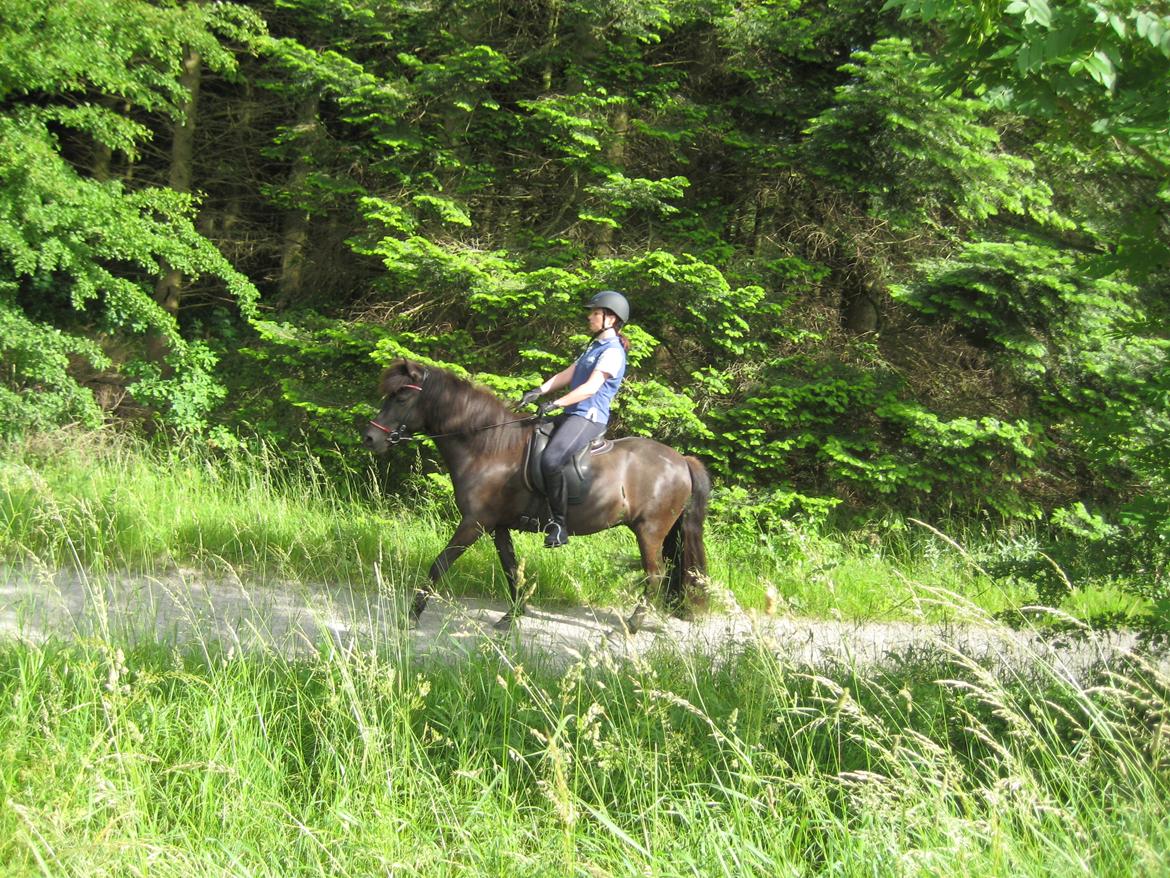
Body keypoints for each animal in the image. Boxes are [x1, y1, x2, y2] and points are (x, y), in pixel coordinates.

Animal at [360, 358, 706, 632]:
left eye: (402, 396)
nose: (370, 438)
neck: (490, 448)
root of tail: (681, 460)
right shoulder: (497, 525)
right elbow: (511, 570)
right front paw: (512, 615)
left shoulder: (474, 523)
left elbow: (440, 564)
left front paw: (411, 615)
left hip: (649, 530)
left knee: (655, 575)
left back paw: (631, 625)